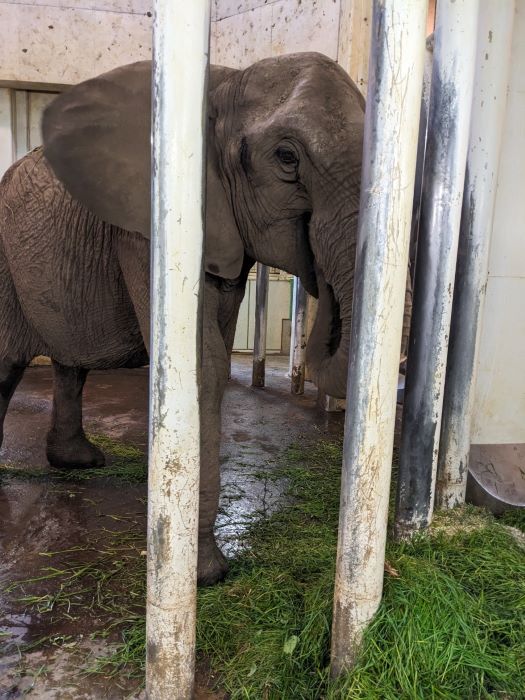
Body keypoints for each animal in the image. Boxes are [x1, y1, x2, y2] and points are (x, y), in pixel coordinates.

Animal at [0, 53, 410, 584]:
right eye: (286, 157)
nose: (319, 276)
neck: (221, 84)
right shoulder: (149, 230)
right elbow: (202, 365)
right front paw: (204, 577)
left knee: (70, 362)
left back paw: (79, 462)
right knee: (6, 362)